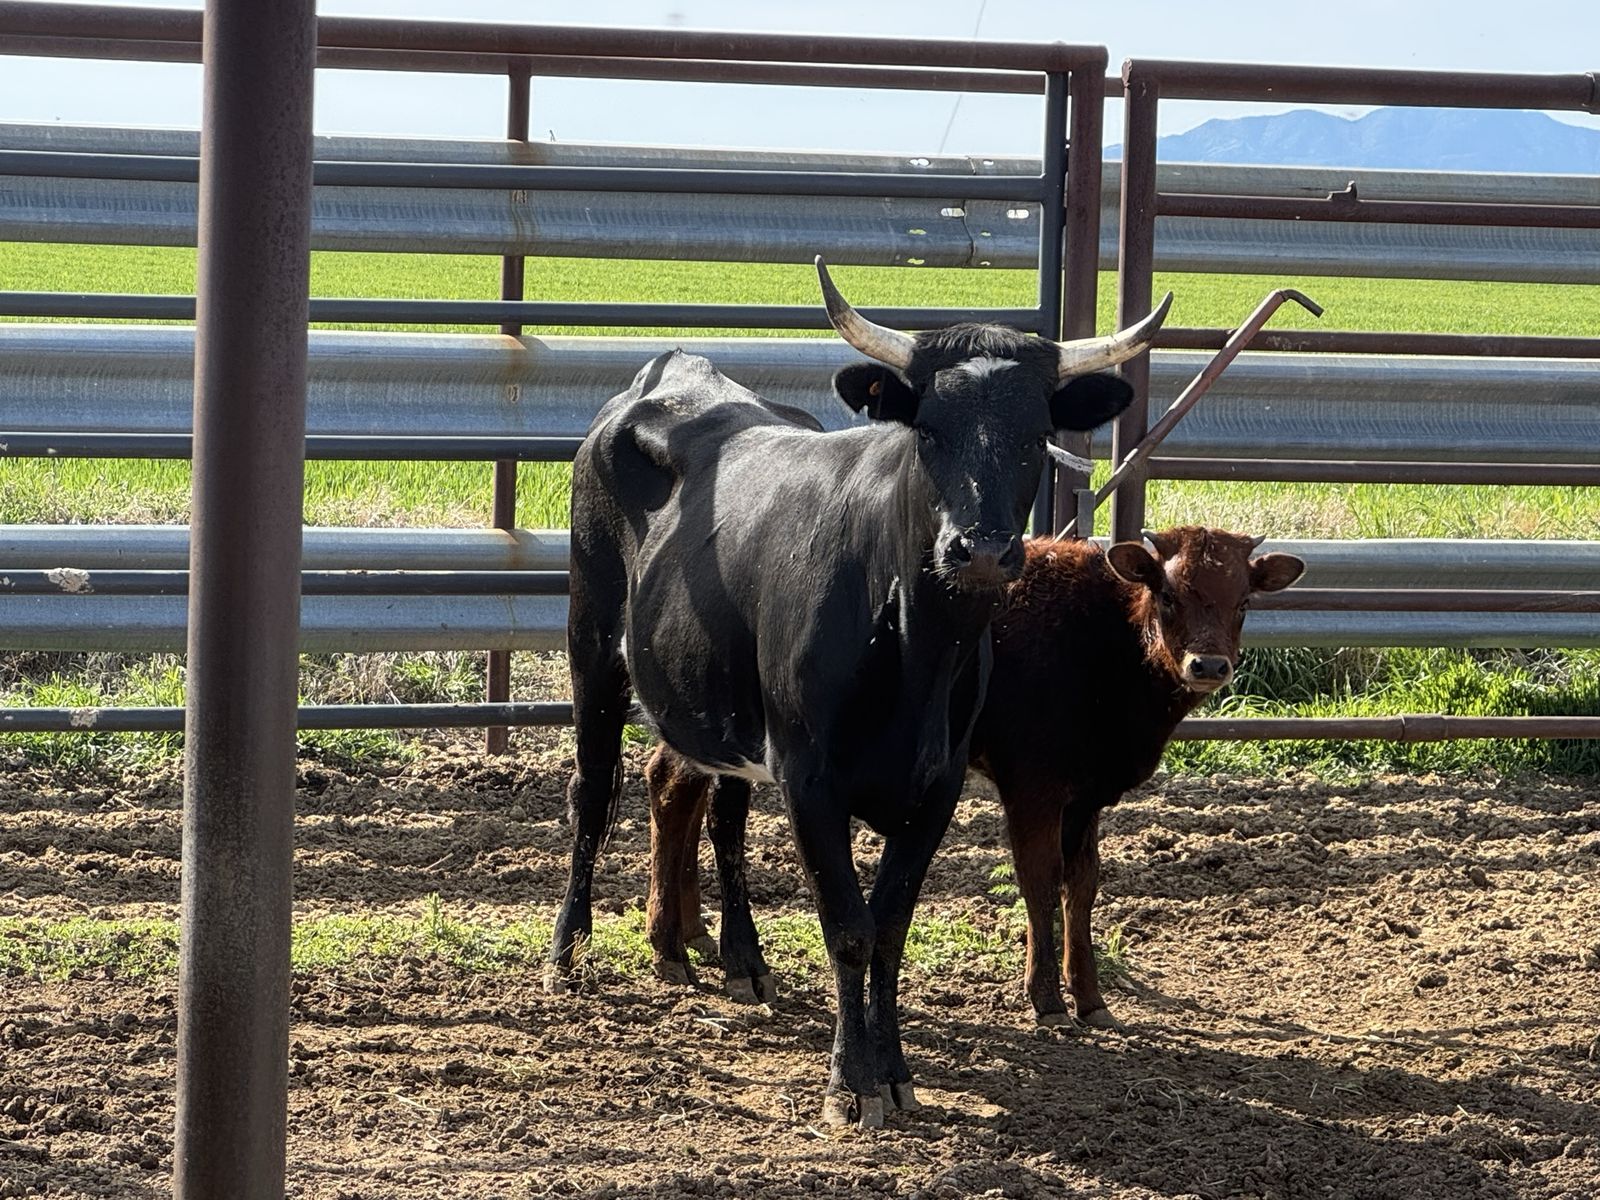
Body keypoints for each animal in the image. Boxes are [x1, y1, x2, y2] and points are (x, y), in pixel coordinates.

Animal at [547, 255, 1172, 1128]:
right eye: (928, 429)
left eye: (1033, 436)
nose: (980, 550)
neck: (914, 648)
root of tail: (671, 369)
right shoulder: (813, 780)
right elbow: (847, 926)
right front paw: (851, 1083)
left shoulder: (935, 788)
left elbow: (889, 928)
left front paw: (896, 1070)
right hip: (594, 644)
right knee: (592, 791)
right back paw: (567, 951)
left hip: (734, 714)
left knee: (724, 817)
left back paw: (741, 958)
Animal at [644, 526, 1304, 1034]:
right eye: (1167, 594)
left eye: (1243, 600)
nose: (1209, 665)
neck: (1103, 636)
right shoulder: (1033, 786)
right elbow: (1039, 882)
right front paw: (1047, 1001)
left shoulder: (1085, 796)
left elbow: (1082, 884)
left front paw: (1091, 1000)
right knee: (675, 790)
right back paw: (675, 947)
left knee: (677, 790)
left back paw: (689, 934)